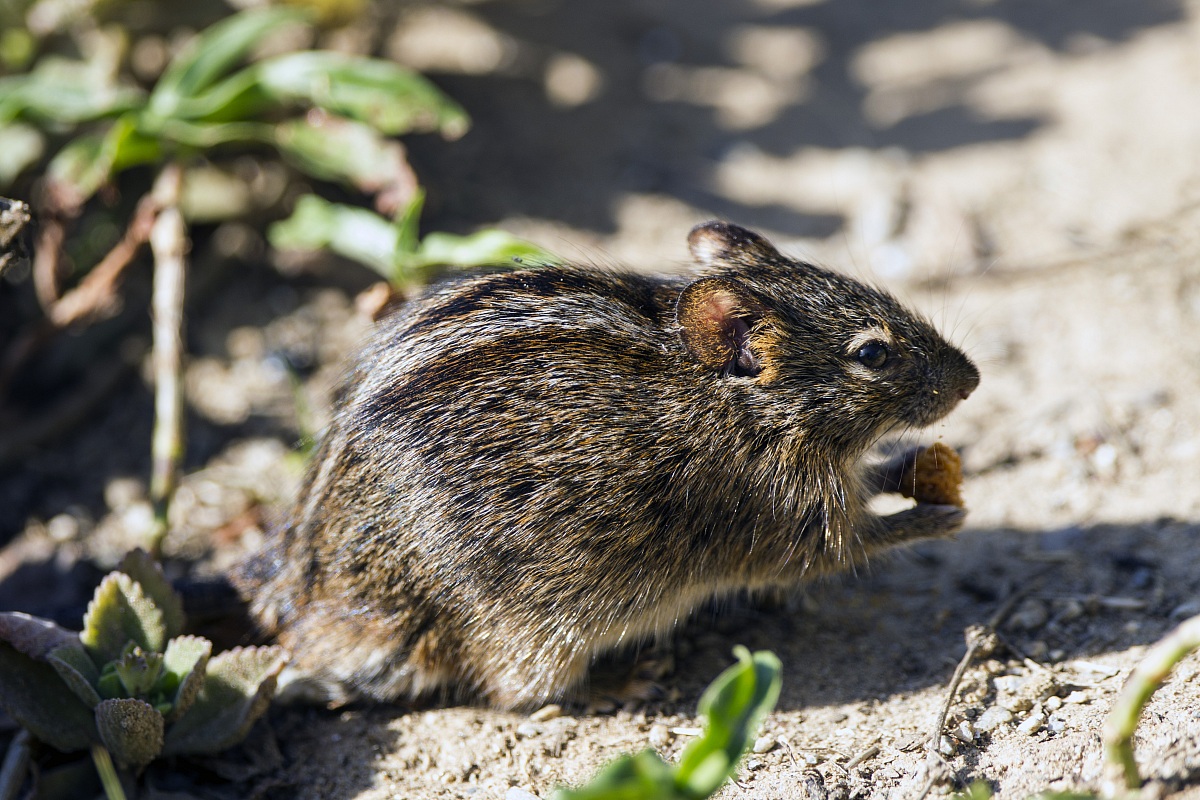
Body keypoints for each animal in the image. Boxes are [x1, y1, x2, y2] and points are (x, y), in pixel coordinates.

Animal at [235, 221, 980, 710]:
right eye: (872, 354)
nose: (972, 379)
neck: (740, 406)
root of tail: (309, 610)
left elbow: (874, 479)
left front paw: (918, 468)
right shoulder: (799, 529)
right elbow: (861, 539)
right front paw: (946, 516)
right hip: (535, 631)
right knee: (526, 696)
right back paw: (627, 680)